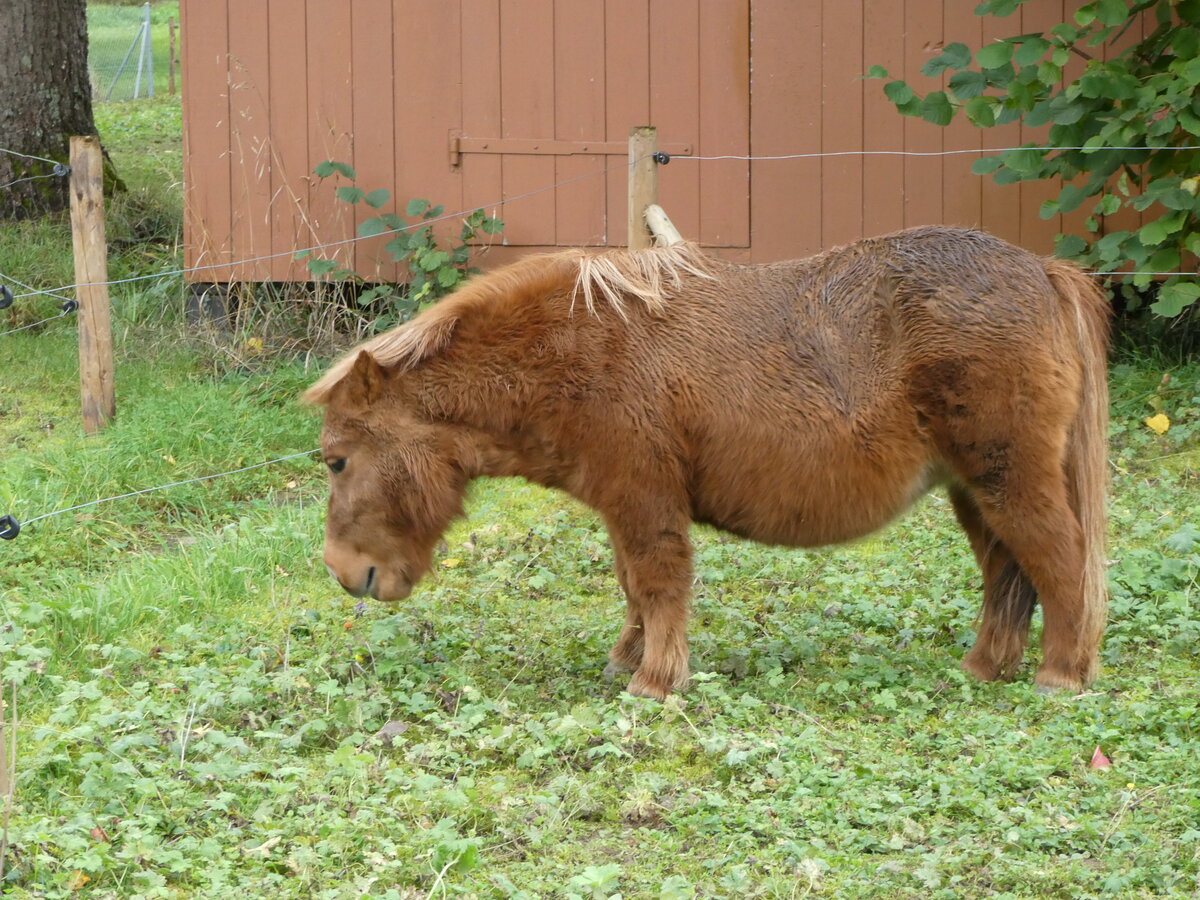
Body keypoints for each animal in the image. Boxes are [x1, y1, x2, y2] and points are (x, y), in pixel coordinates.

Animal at [304, 226, 1110, 700]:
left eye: (336, 462)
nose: (343, 573)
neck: (572, 349)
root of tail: (1043, 270)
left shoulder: (644, 499)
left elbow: (660, 583)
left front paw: (656, 681)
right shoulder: (623, 505)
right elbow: (633, 585)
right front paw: (629, 659)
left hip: (1010, 480)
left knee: (1060, 562)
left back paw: (1061, 676)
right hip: (974, 491)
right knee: (1009, 575)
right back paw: (984, 668)